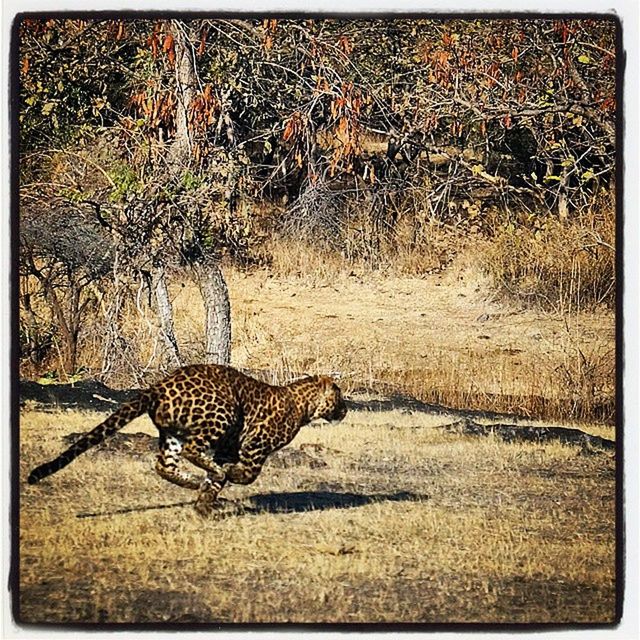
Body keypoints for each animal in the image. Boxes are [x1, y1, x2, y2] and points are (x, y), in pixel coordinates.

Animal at [28, 364, 350, 516]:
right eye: (339, 396)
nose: (346, 410)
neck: (304, 405)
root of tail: (157, 387)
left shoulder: (227, 449)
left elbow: (216, 481)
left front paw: (204, 505)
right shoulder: (255, 443)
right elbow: (248, 474)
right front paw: (225, 481)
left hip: (172, 434)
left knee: (164, 465)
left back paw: (194, 482)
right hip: (222, 414)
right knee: (192, 451)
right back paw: (204, 476)